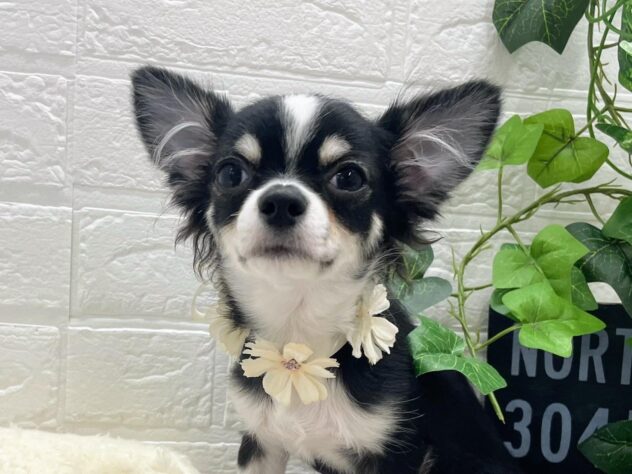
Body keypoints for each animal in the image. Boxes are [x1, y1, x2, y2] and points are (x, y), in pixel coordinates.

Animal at [131, 66, 521, 474]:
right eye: (230, 175)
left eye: (349, 178)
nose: (281, 200)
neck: (301, 338)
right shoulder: (261, 444)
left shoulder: (396, 454)